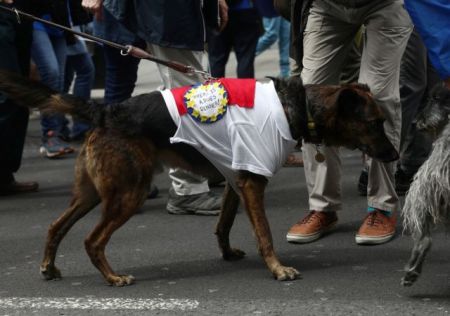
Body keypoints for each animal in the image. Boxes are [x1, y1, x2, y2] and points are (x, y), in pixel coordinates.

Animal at [0, 71, 398, 286]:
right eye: (374, 123)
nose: (395, 156)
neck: (296, 105)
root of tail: (107, 109)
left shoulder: (237, 179)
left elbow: (223, 225)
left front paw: (227, 253)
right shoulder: (253, 183)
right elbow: (265, 235)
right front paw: (277, 269)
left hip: (92, 194)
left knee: (56, 226)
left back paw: (49, 267)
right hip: (128, 193)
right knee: (91, 240)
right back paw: (112, 278)